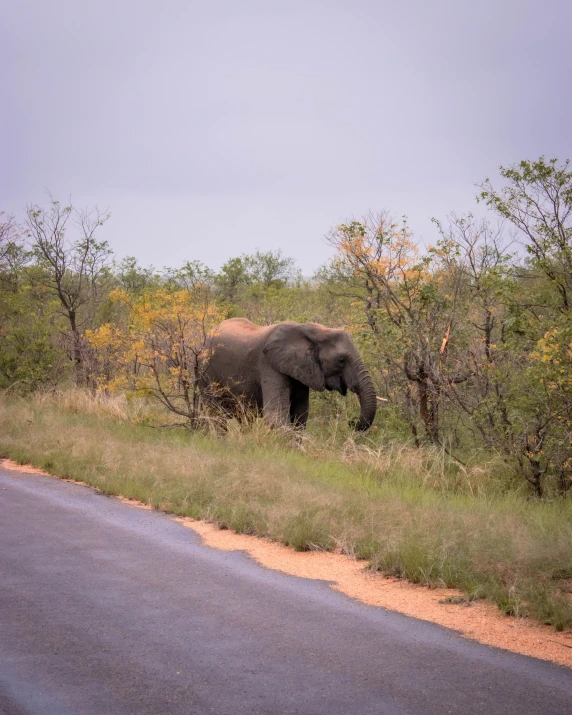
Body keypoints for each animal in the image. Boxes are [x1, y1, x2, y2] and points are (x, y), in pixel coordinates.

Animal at [200, 318, 376, 430]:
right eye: (341, 360)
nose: (352, 422)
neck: (314, 330)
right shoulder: (269, 365)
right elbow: (276, 415)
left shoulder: (302, 369)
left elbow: (300, 415)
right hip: (206, 371)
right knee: (215, 414)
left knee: (245, 418)